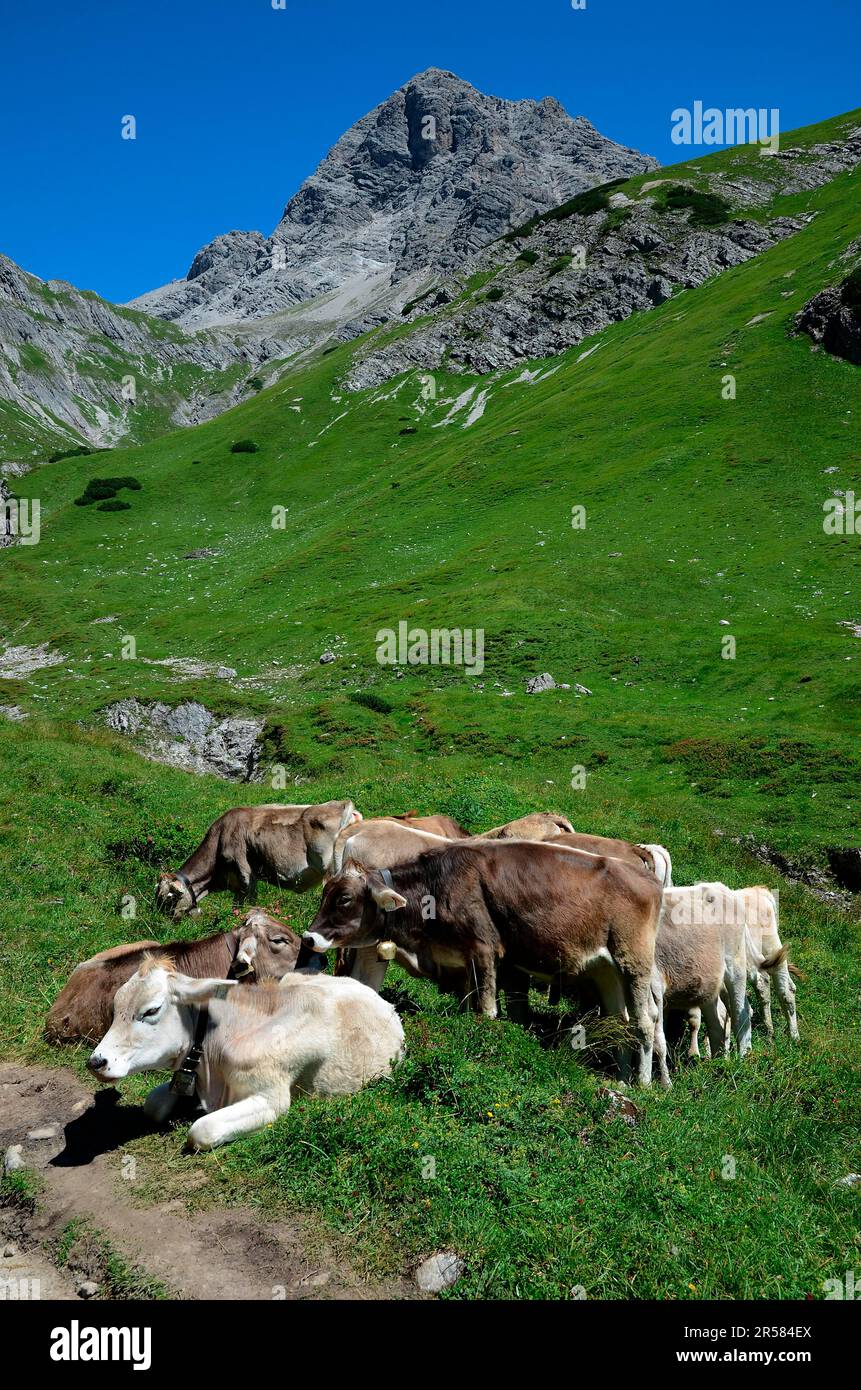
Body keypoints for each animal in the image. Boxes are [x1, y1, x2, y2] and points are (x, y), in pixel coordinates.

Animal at [89, 956, 406, 1150]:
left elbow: (202, 1130)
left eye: (151, 1010)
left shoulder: (271, 1098)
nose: (96, 1061)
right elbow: (152, 1104)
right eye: (116, 1006)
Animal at [301, 834, 659, 1084]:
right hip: (605, 970)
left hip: (633, 961)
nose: (309, 937)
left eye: (344, 898)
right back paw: (621, 1081)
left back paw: (643, 1083)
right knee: (619, 1022)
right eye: (324, 893)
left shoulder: (485, 948)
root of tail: (647, 878)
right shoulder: (463, 961)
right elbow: (468, 1006)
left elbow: (486, 1011)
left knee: (645, 1021)